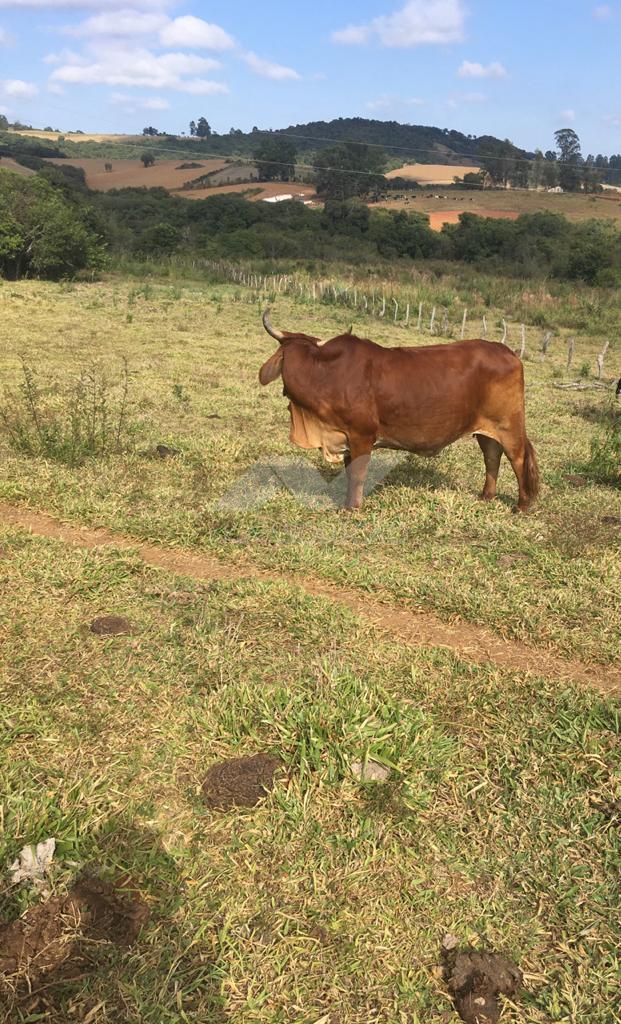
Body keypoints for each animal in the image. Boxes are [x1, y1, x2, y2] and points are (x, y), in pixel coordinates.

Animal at [258, 307, 541, 507]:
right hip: (486, 430)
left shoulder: (362, 435)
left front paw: (352, 507)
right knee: (492, 456)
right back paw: (486, 496)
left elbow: (357, 474)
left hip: (510, 425)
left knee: (517, 458)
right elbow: (349, 472)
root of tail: (506, 350)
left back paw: (522, 505)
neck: (324, 374)